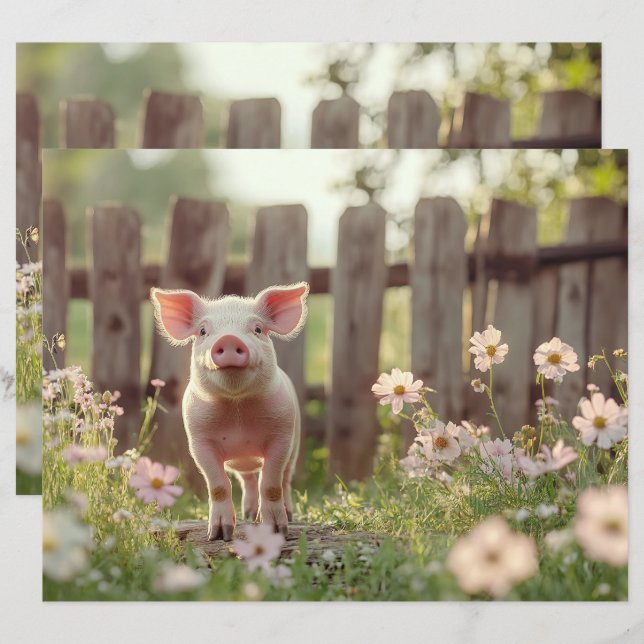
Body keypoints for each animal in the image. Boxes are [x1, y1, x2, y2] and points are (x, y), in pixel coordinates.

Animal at [150, 282, 309, 541]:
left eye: (258, 328)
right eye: (203, 331)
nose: (229, 339)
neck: (237, 410)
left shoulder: (282, 435)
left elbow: (271, 485)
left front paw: (276, 532)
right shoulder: (199, 441)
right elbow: (218, 486)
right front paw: (218, 536)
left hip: (295, 446)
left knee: (284, 480)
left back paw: (287, 515)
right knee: (248, 480)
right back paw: (249, 515)